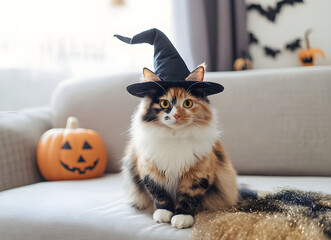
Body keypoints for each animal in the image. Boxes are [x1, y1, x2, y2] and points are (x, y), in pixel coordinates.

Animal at [122, 64, 239, 229]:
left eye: (187, 103)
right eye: (165, 103)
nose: (177, 115)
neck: (175, 136)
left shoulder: (198, 174)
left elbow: (188, 197)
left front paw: (181, 218)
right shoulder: (149, 172)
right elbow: (159, 194)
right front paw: (163, 214)